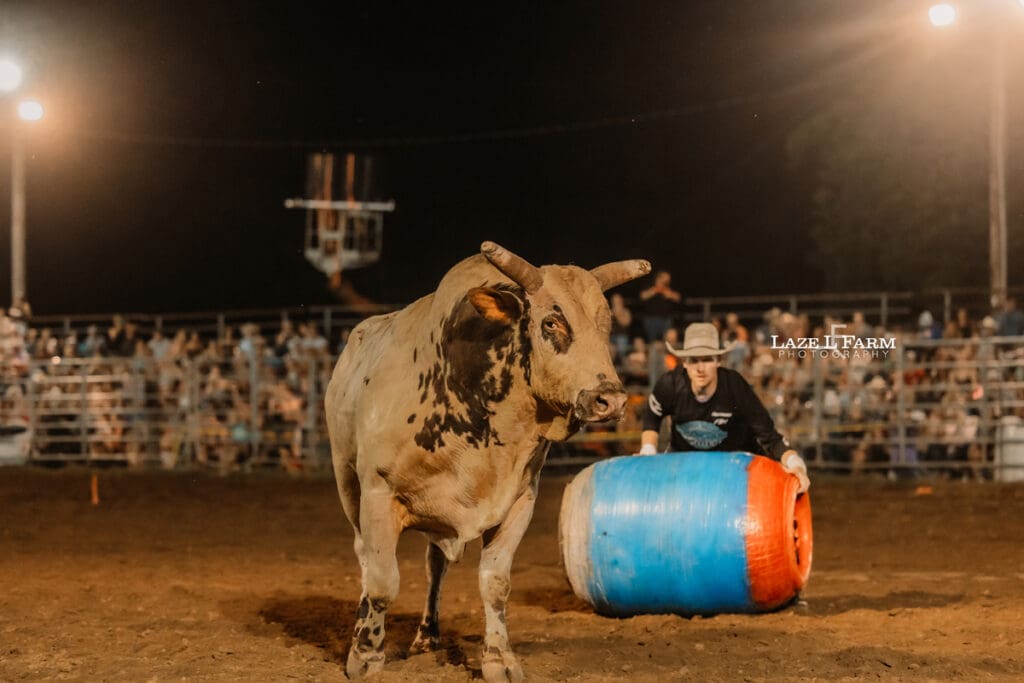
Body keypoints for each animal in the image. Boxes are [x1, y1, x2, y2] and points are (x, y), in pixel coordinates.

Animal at [325, 241, 650, 682]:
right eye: (551, 322)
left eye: (606, 325)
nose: (610, 399)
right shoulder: (378, 492)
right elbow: (381, 581)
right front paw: (366, 655)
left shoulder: (518, 503)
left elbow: (495, 583)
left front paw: (499, 660)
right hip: (347, 483)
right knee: (364, 557)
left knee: (434, 565)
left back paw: (428, 636)